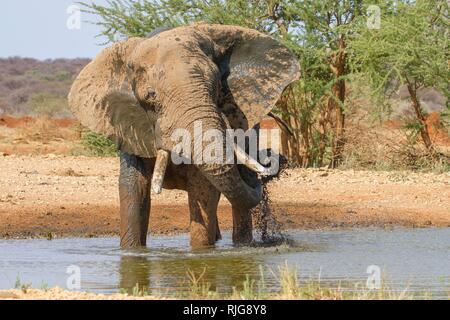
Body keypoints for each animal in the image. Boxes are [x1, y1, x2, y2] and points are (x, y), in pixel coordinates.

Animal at [68, 23, 300, 249]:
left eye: (217, 86)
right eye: (151, 95)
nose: (274, 157)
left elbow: (203, 189)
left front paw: (201, 252)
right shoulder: (128, 126)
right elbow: (134, 187)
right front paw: (132, 252)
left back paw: (242, 245)